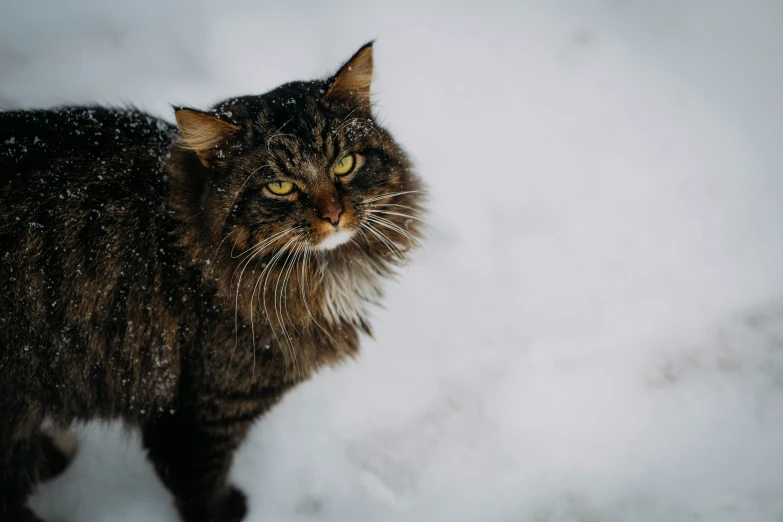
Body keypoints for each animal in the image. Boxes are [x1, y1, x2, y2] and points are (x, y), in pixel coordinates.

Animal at [0, 43, 426, 520]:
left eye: (344, 163)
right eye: (280, 187)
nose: (334, 215)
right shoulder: (198, 417)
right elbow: (202, 486)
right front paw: (230, 509)